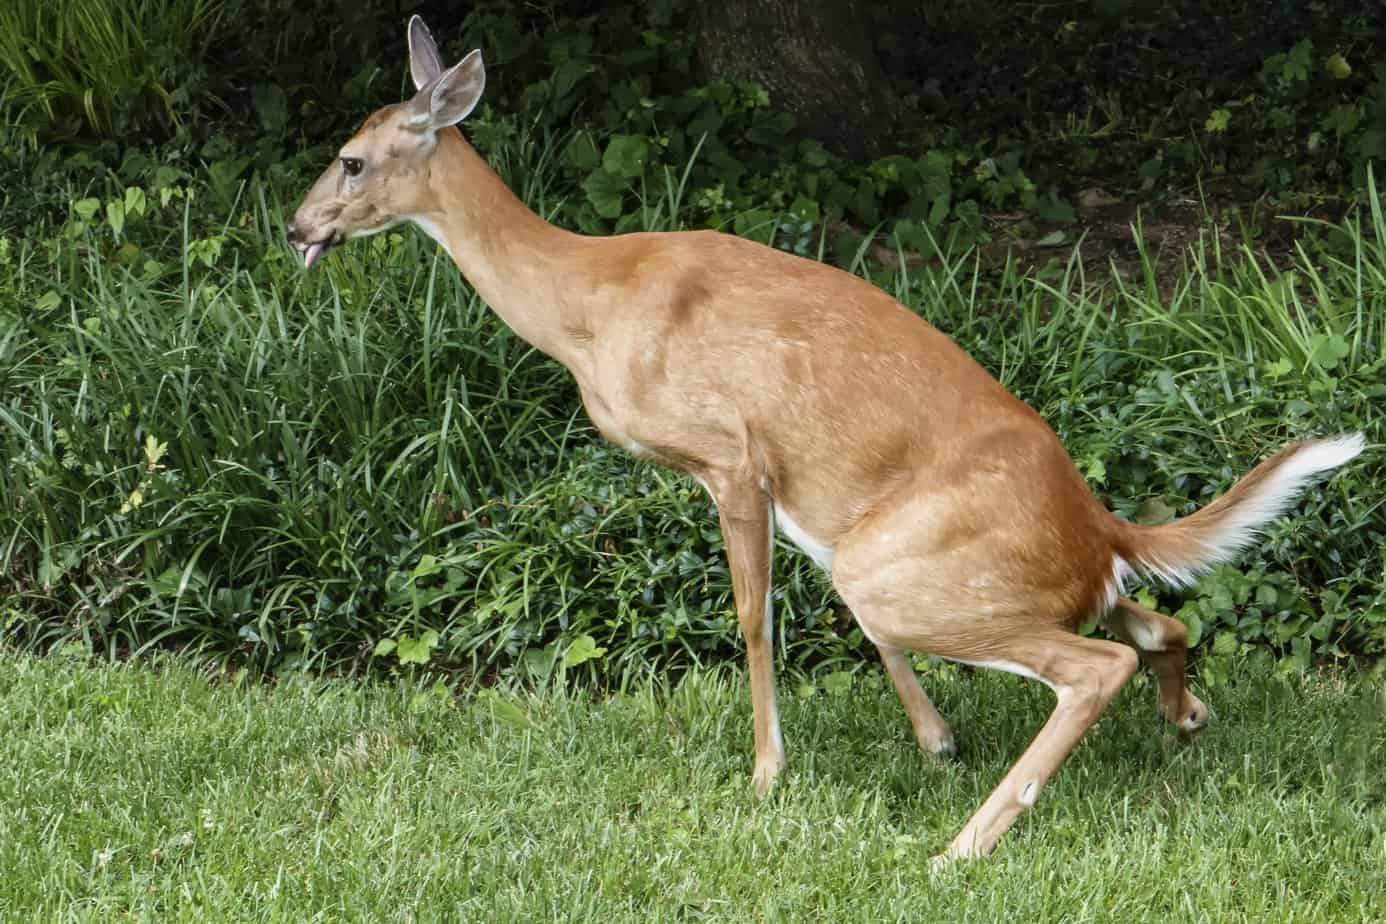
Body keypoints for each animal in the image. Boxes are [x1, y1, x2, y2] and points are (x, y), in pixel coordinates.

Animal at [286, 16, 1365, 862]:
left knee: (1094, 664)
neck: (590, 306)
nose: (297, 228)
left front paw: (767, 773)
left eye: (352, 159)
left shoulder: (726, 453)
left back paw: (966, 844)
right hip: (931, 563)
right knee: (1155, 622)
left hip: (909, 569)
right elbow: (824, 612)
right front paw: (934, 739)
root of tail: (1102, 527)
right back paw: (1183, 717)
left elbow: (754, 616)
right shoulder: (804, 492)